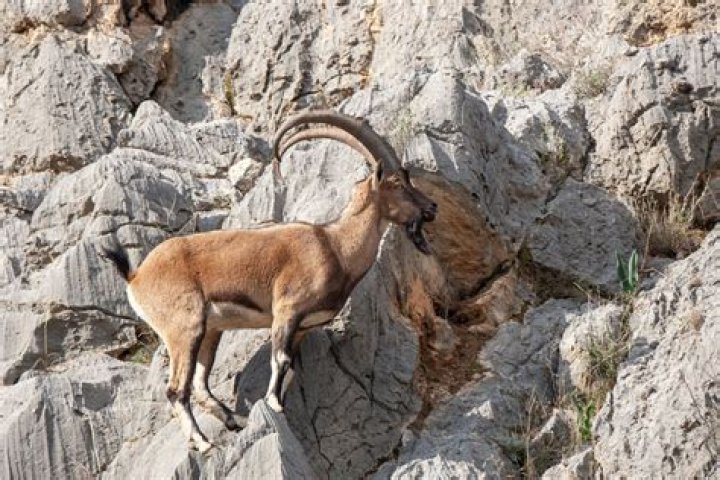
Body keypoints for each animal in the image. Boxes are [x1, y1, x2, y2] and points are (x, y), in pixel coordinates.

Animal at [102, 110, 437, 453]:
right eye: (396, 182)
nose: (431, 208)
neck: (336, 247)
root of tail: (136, 276)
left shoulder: (303, 328)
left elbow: (291, 369)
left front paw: (279, 405)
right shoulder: (287, 310)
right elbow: (281, 359)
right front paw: (273, 404)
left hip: (210, 331)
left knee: (198, 383)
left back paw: (233, 420)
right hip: (184, 327)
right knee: (176, 390)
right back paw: (204, 442)